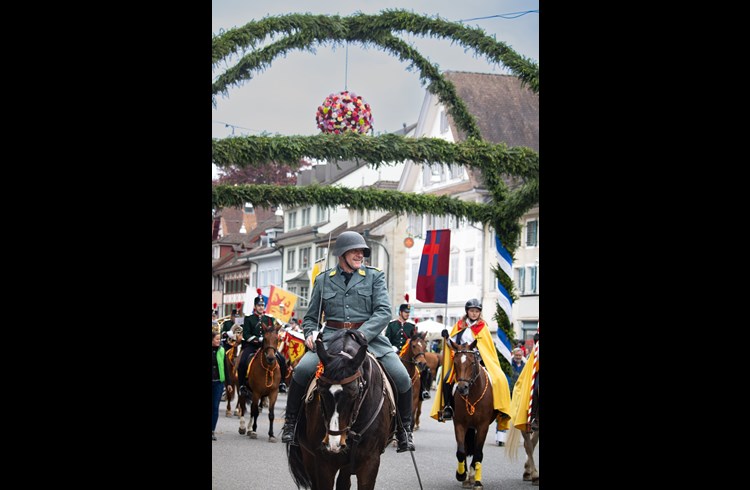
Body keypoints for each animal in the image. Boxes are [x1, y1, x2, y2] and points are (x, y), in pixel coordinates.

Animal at [286, 330, 396, 490]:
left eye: (354, 393)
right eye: (321, 390)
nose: (334, 443)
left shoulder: (370, 462)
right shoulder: (324, 463)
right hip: (309, 456)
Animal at [446, 338, 500, 488]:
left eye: (472, 362)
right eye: (455, 363)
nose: (462, 388)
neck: (472, 396)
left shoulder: (483, 426)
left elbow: (478, 453)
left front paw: (477, 481)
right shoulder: (459, 424)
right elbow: (461, 451)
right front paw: (460, 474)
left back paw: (471, 476)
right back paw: (466, 475)